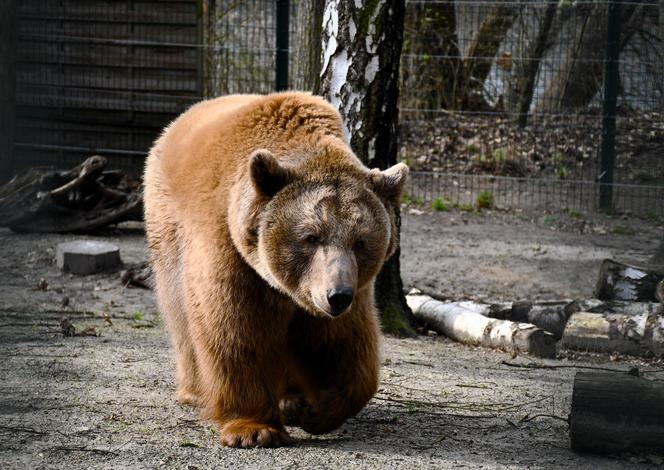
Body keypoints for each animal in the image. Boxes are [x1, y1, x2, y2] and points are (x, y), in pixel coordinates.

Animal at [143, 92, 408, 448]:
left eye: (360, 241)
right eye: (311, 236)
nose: (337, 295)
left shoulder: (342, 289)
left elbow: (342, 345)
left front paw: (315, 409)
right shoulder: (230, 250)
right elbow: (235, 331)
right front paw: (254, 429)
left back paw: (291, 399)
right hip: (168, 228)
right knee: (179, 311)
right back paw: (194, 391)